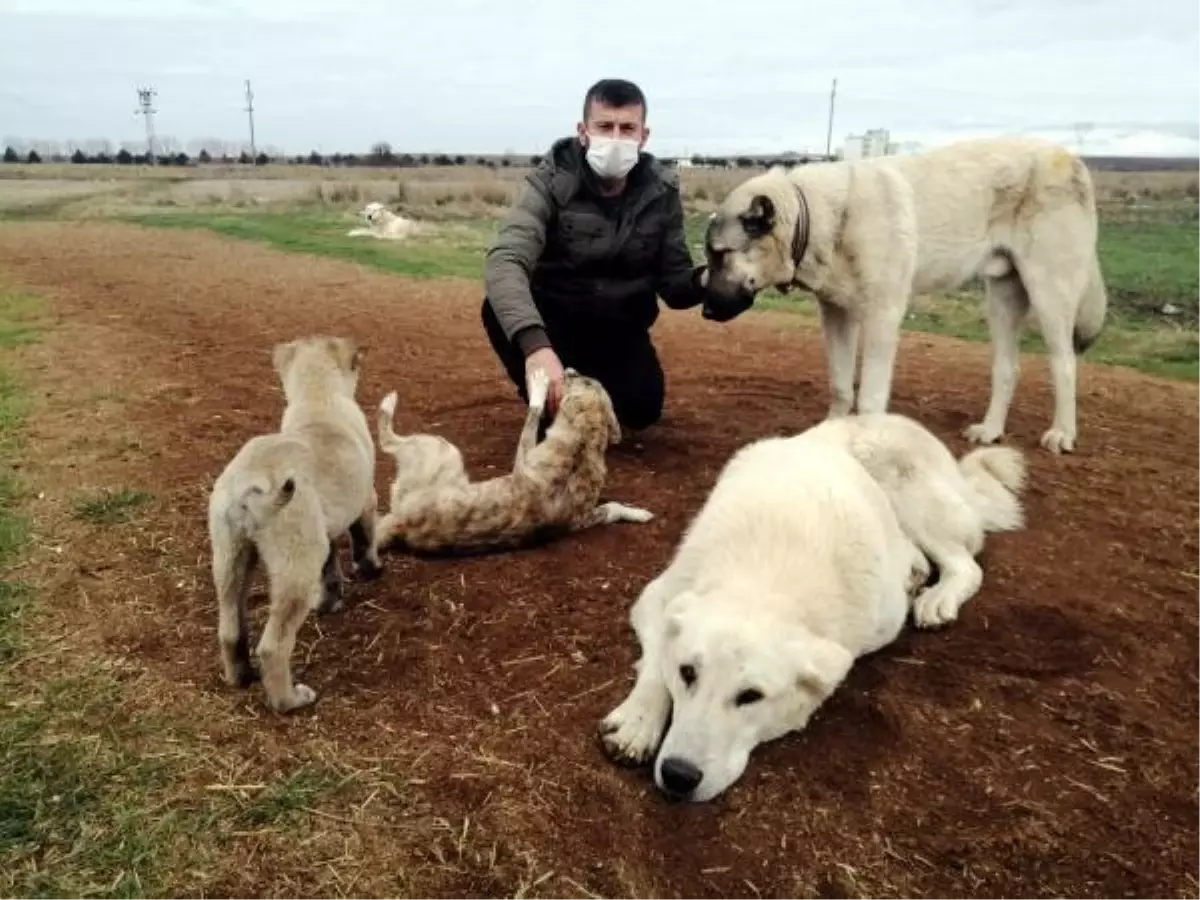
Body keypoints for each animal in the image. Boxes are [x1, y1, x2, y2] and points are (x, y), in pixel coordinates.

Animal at [201, 336, 379, 715]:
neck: (318, 399)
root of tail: (248, 487)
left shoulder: (324, 534)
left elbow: (331, 571)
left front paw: (331, 601)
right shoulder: (366, 501)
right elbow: (364, 542)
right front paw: (371, 570)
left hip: (230, 559)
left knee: (230, 630)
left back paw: (241, 677)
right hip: (295, 569)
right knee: (274, 647)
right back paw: (290, 700)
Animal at [374, 367, 657, 556]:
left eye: (582, 380)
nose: (569, 369)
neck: (584, 444)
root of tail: (400, 523)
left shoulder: (523, 457)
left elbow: (533, 414)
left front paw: (538, 388)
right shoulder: (582, 518)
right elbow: (613, 508)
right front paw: (638, 513)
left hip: (443, 449)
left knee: (387, 440)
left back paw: (388, 403)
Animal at [595, 415, 1027, 801]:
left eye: (751, 696)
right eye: (687, 673)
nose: (678, 775)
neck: (765, 578)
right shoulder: (660, 596)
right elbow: (656, 664)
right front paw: (637, 722)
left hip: (913, 500)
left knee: (965, 565)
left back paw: (937, 598)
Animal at [700, 135, 1108, 453]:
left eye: (720, 254)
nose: (704, 312)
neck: (818, 216)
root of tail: (1073, 158)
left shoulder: (882, 317)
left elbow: (868, 398)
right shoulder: (837, 315)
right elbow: (840, 386)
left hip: (1050, 295)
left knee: (1064, 364)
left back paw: (1062, 434)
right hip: (1003, 300)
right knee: (1008, 367)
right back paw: (991, 430)